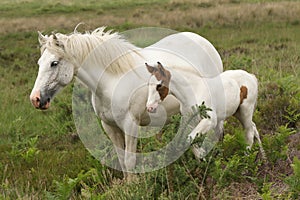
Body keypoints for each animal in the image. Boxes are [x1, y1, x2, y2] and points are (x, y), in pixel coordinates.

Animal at [29, 27, 224, 178]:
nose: (35, 99)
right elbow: (122, 161)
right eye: (39, 63)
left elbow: (130, 161)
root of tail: (203, 41)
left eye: (54, 63)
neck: (111, 82)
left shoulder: (130, 125)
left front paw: (135, 187)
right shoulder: (109, 126)